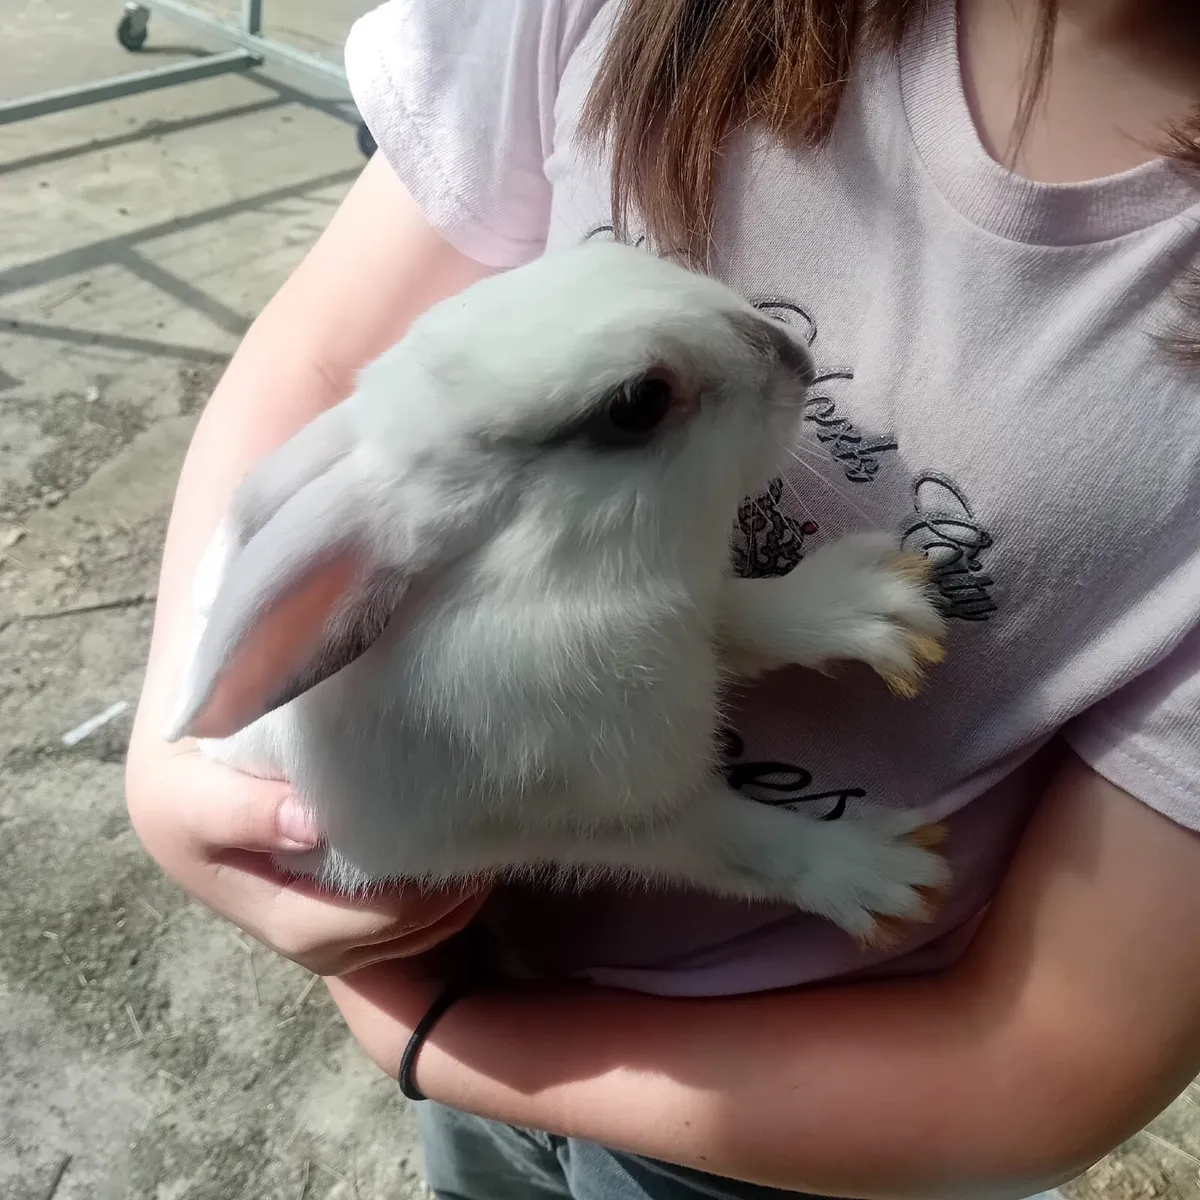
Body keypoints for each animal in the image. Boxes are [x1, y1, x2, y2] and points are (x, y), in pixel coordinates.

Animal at [166, 239, 949, 946]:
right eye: (639, 403)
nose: (795, 356)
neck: (556, 585)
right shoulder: (587, 818)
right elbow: (739, 842)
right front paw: (883, 872)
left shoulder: (689, 618)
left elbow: (746, 619)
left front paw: (876, 608)